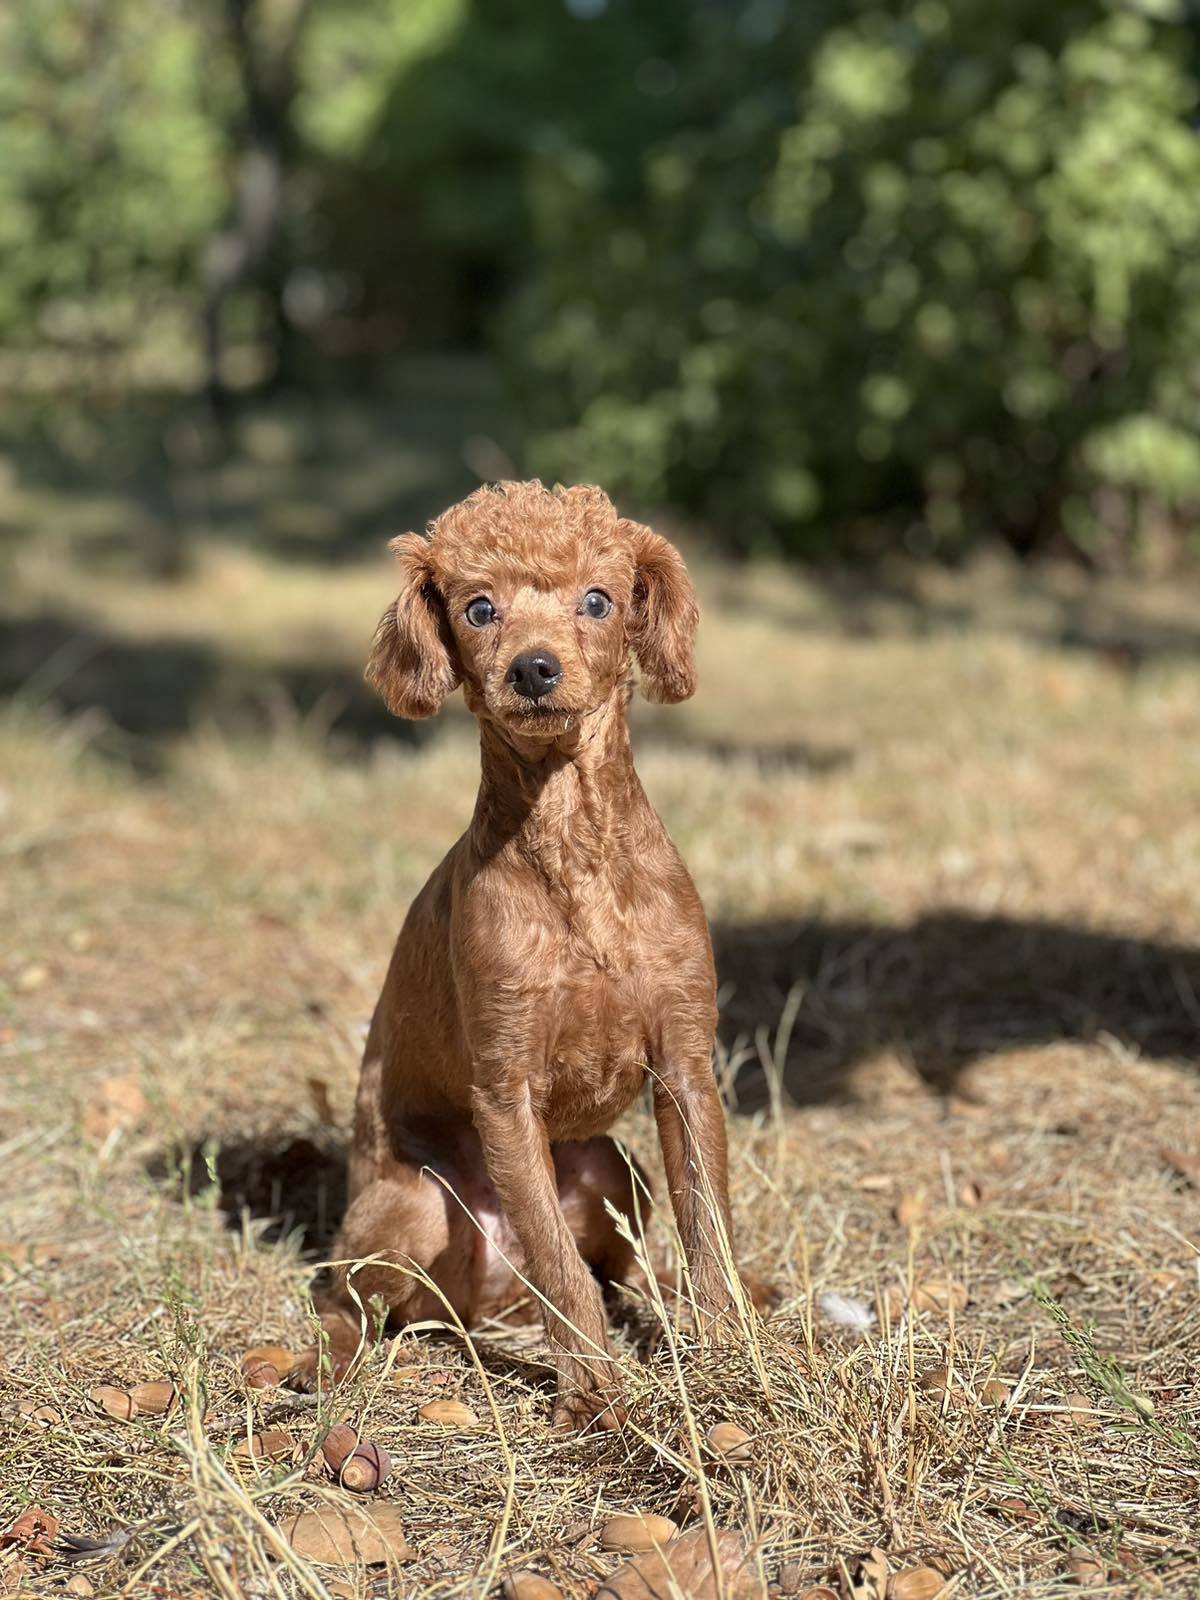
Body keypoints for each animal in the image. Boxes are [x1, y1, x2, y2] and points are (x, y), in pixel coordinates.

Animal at [292, 480, 755, 1433]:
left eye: (599, 601)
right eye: (479, 609)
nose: (534, 670)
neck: (573, 844)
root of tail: (486, 1300)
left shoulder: (686, 1067)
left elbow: (708, 1226)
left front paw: (728, 1354)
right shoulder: (506, 1089)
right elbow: (556, 1259)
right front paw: (595, 1396)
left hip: (613, 1169)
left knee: (614, 1267)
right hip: (415, 1203)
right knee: (349, 1297)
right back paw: (329, 1365)